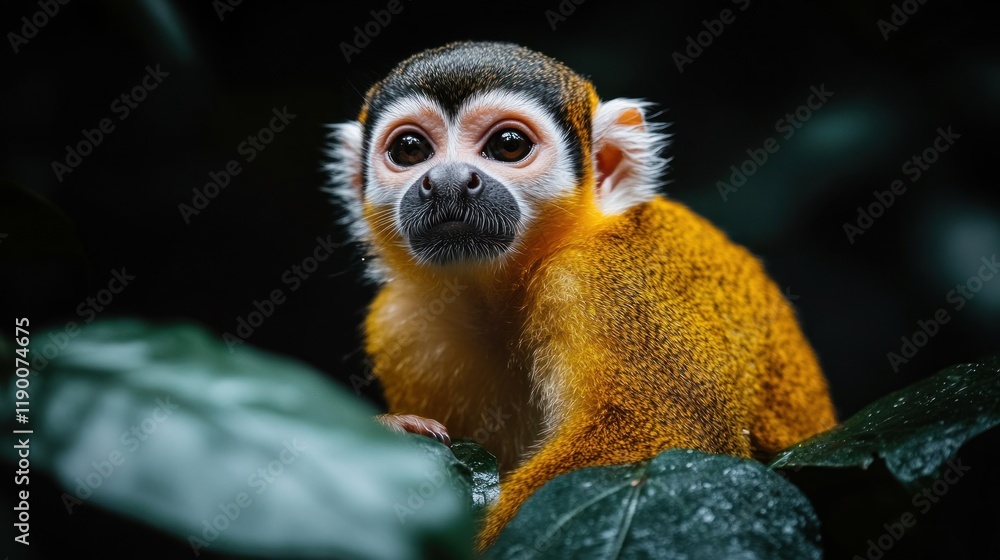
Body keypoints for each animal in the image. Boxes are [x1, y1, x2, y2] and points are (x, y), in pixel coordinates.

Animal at [326, 40, 837, 551]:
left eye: (508, 145)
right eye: (410, 149)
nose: (448, 180)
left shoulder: (601, 279)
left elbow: (669, 436)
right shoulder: (401, 323)